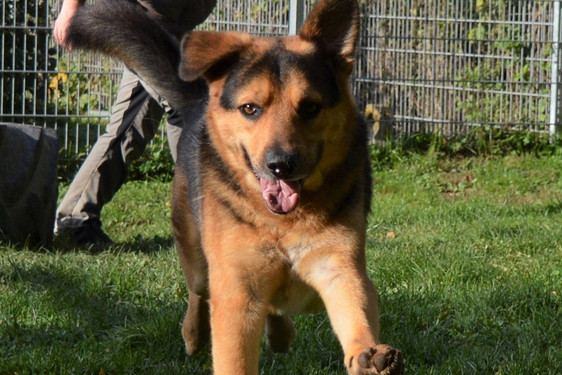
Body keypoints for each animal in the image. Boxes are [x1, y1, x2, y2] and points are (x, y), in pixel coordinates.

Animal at [66, 0, 402, 374]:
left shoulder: (340, 268)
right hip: (197, 255)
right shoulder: (237, 294)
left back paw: (281, 334)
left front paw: (368, 354)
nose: (280, 165)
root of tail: (199, 103)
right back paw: (193, 333)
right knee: (199, 293)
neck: (283, 223)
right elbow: (233, 351)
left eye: (310, 107)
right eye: (250, 109)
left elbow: (356, 311)